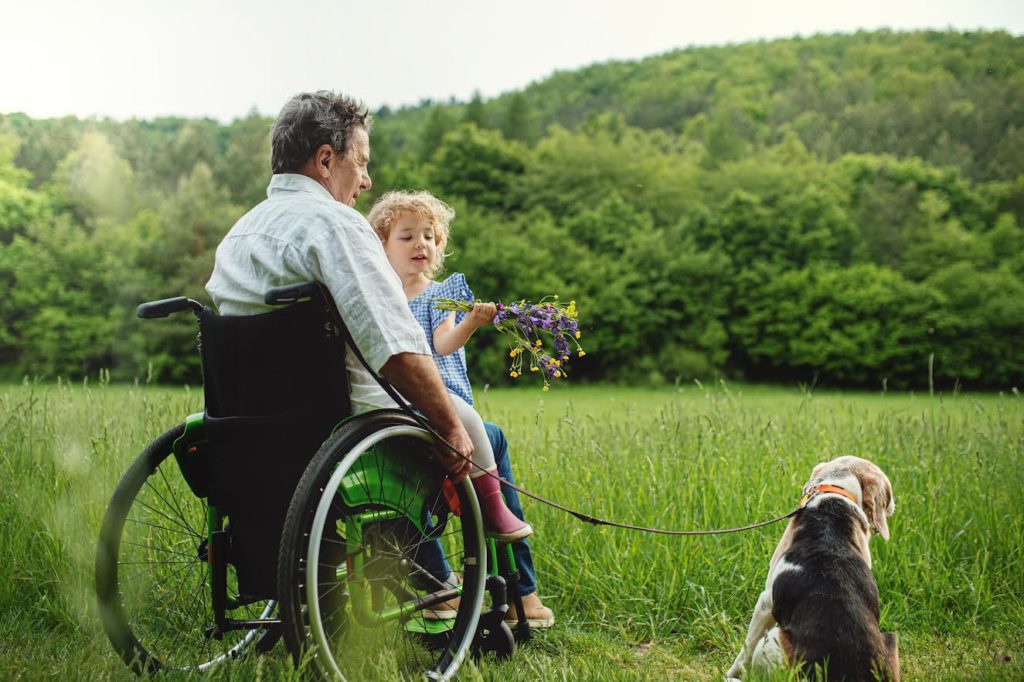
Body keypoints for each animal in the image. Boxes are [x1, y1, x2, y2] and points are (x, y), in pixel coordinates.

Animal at [729, 454, 897, 675]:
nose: (895, 503)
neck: (835, 495)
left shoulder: (765, 603)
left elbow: (745, 650)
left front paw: (728, 674)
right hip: (890, 639)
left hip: (773, 639)